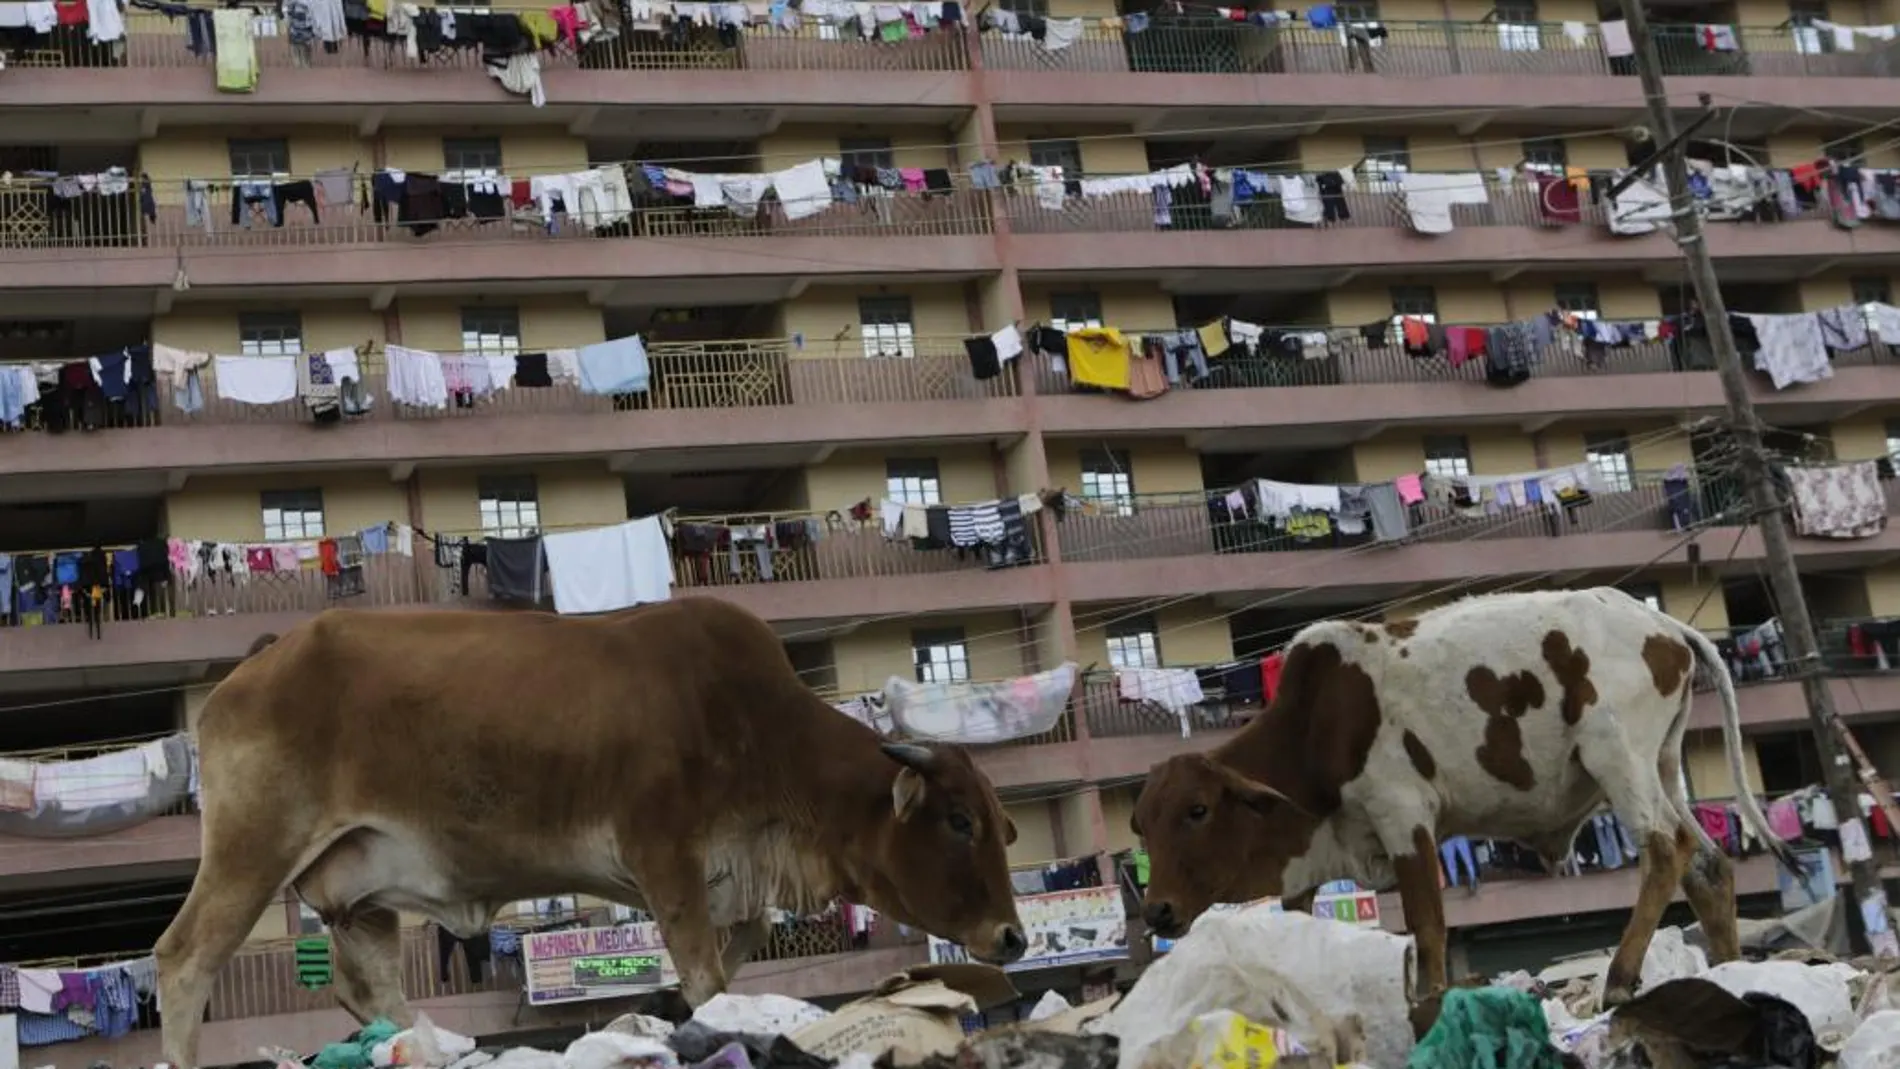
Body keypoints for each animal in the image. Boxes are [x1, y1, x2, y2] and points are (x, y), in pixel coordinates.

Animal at [157, 600, 1033, 1063]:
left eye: (1002, 823)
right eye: (958, 819)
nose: (1014, 936)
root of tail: (266, 656)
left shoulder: (729, 874)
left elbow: (743, 938)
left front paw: (667, 1003)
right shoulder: (665, 855)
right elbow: (708, 969)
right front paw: (693, 1006)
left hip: (360, 894)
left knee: (371, 989)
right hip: (252, 849)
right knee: (183, 960)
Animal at [1124, 584, 1793, 1010]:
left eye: (1197, 810)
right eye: (1141, 825)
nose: (1157, 911)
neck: (1315, 724)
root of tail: (1662, 626)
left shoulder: (1404, 818)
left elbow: (1428, 930)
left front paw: (1431, 1002)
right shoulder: (1309, 869)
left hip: (1617, 757)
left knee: (1665, 848)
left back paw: (1622, 978)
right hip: (1661, 765)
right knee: (1707, 865)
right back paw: (1728, 968)